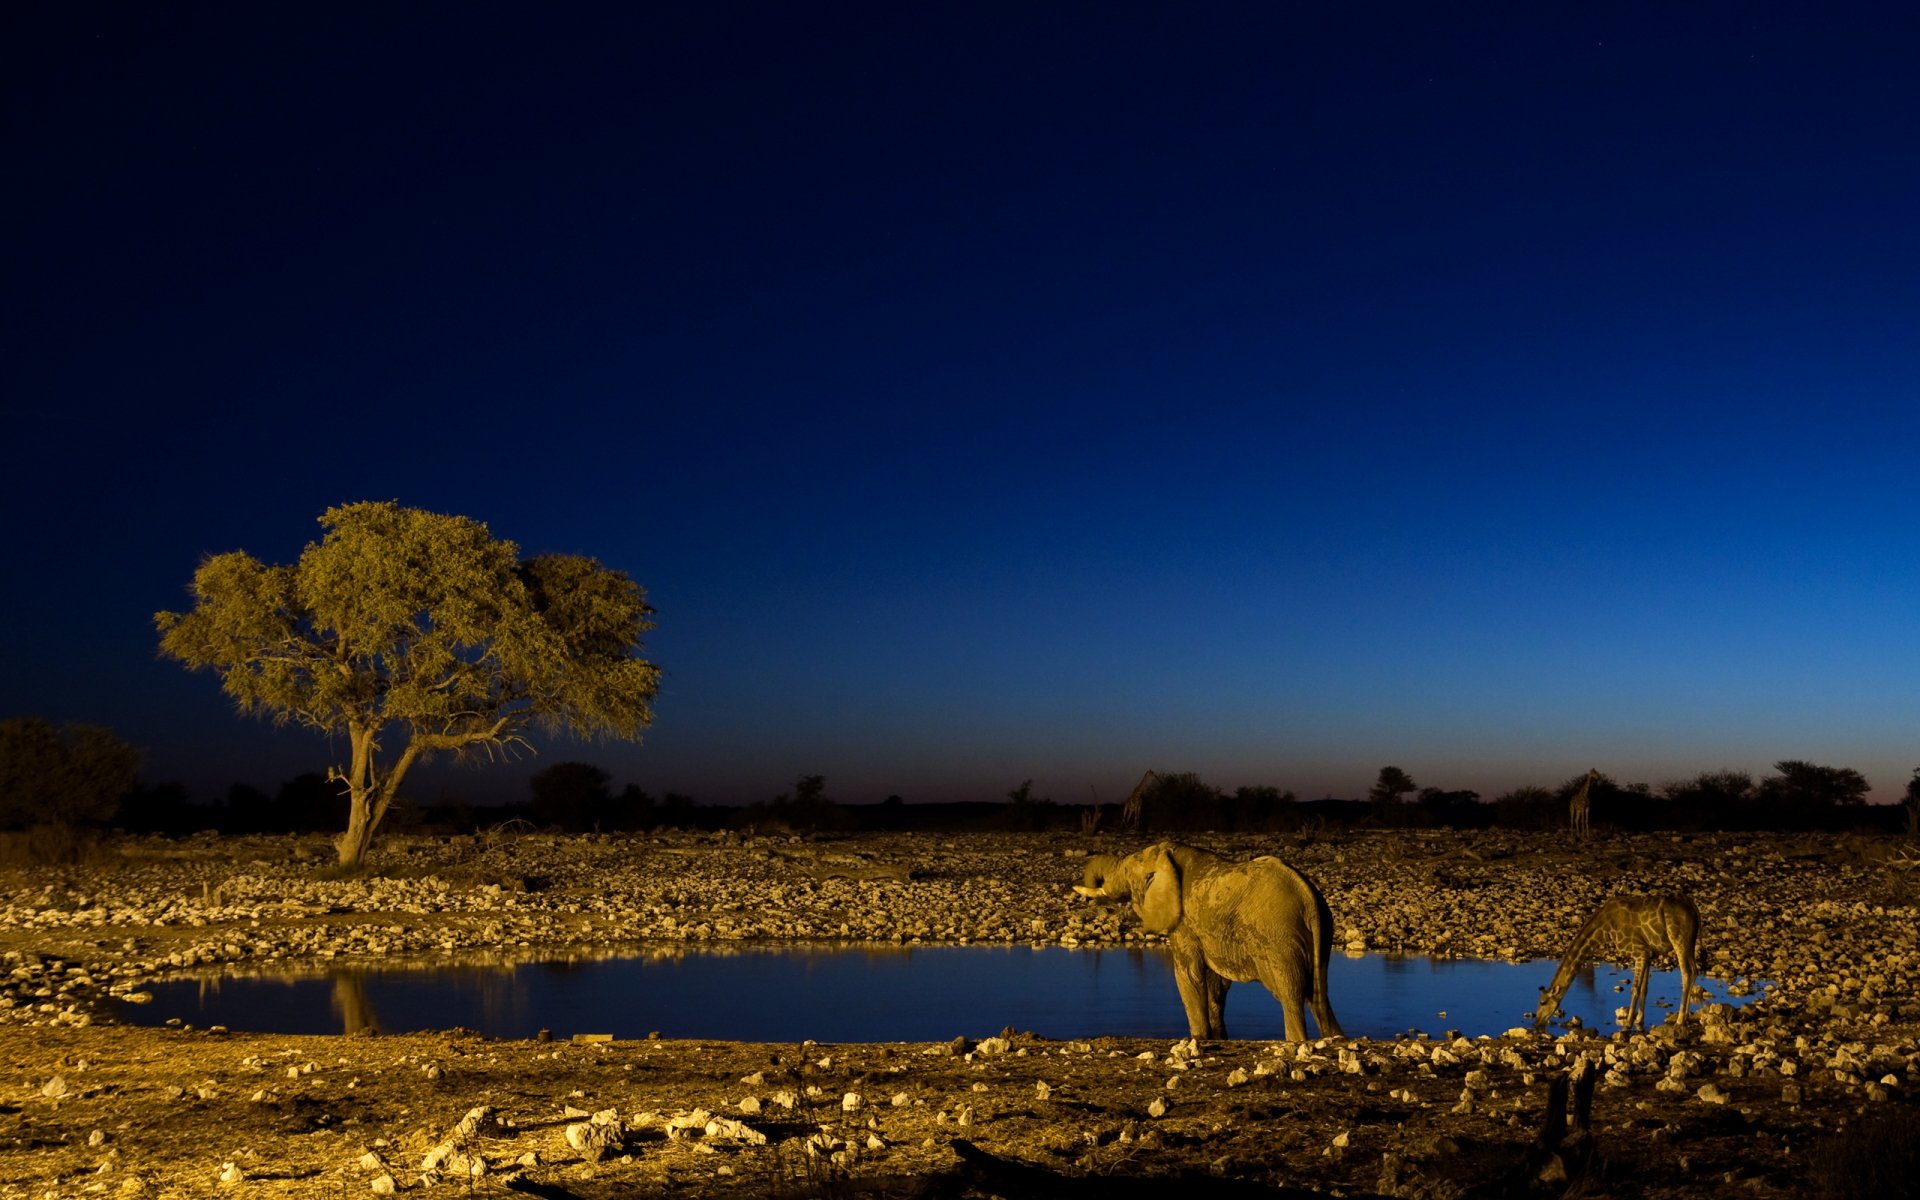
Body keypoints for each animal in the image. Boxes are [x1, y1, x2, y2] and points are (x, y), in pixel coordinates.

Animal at [1074, 841, 1343, 1042]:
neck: (1167, 853)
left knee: (1291, 994)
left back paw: (1296, 1041)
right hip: (1321, 933)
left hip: (1278, 936)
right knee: (1319, 995)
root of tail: (1308, 896)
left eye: (1127, 872)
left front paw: (1198, 1038)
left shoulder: (1184, 923)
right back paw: (1335, 1038)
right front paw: (1217, 1038)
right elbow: (1216, 983)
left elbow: (1188, 974)